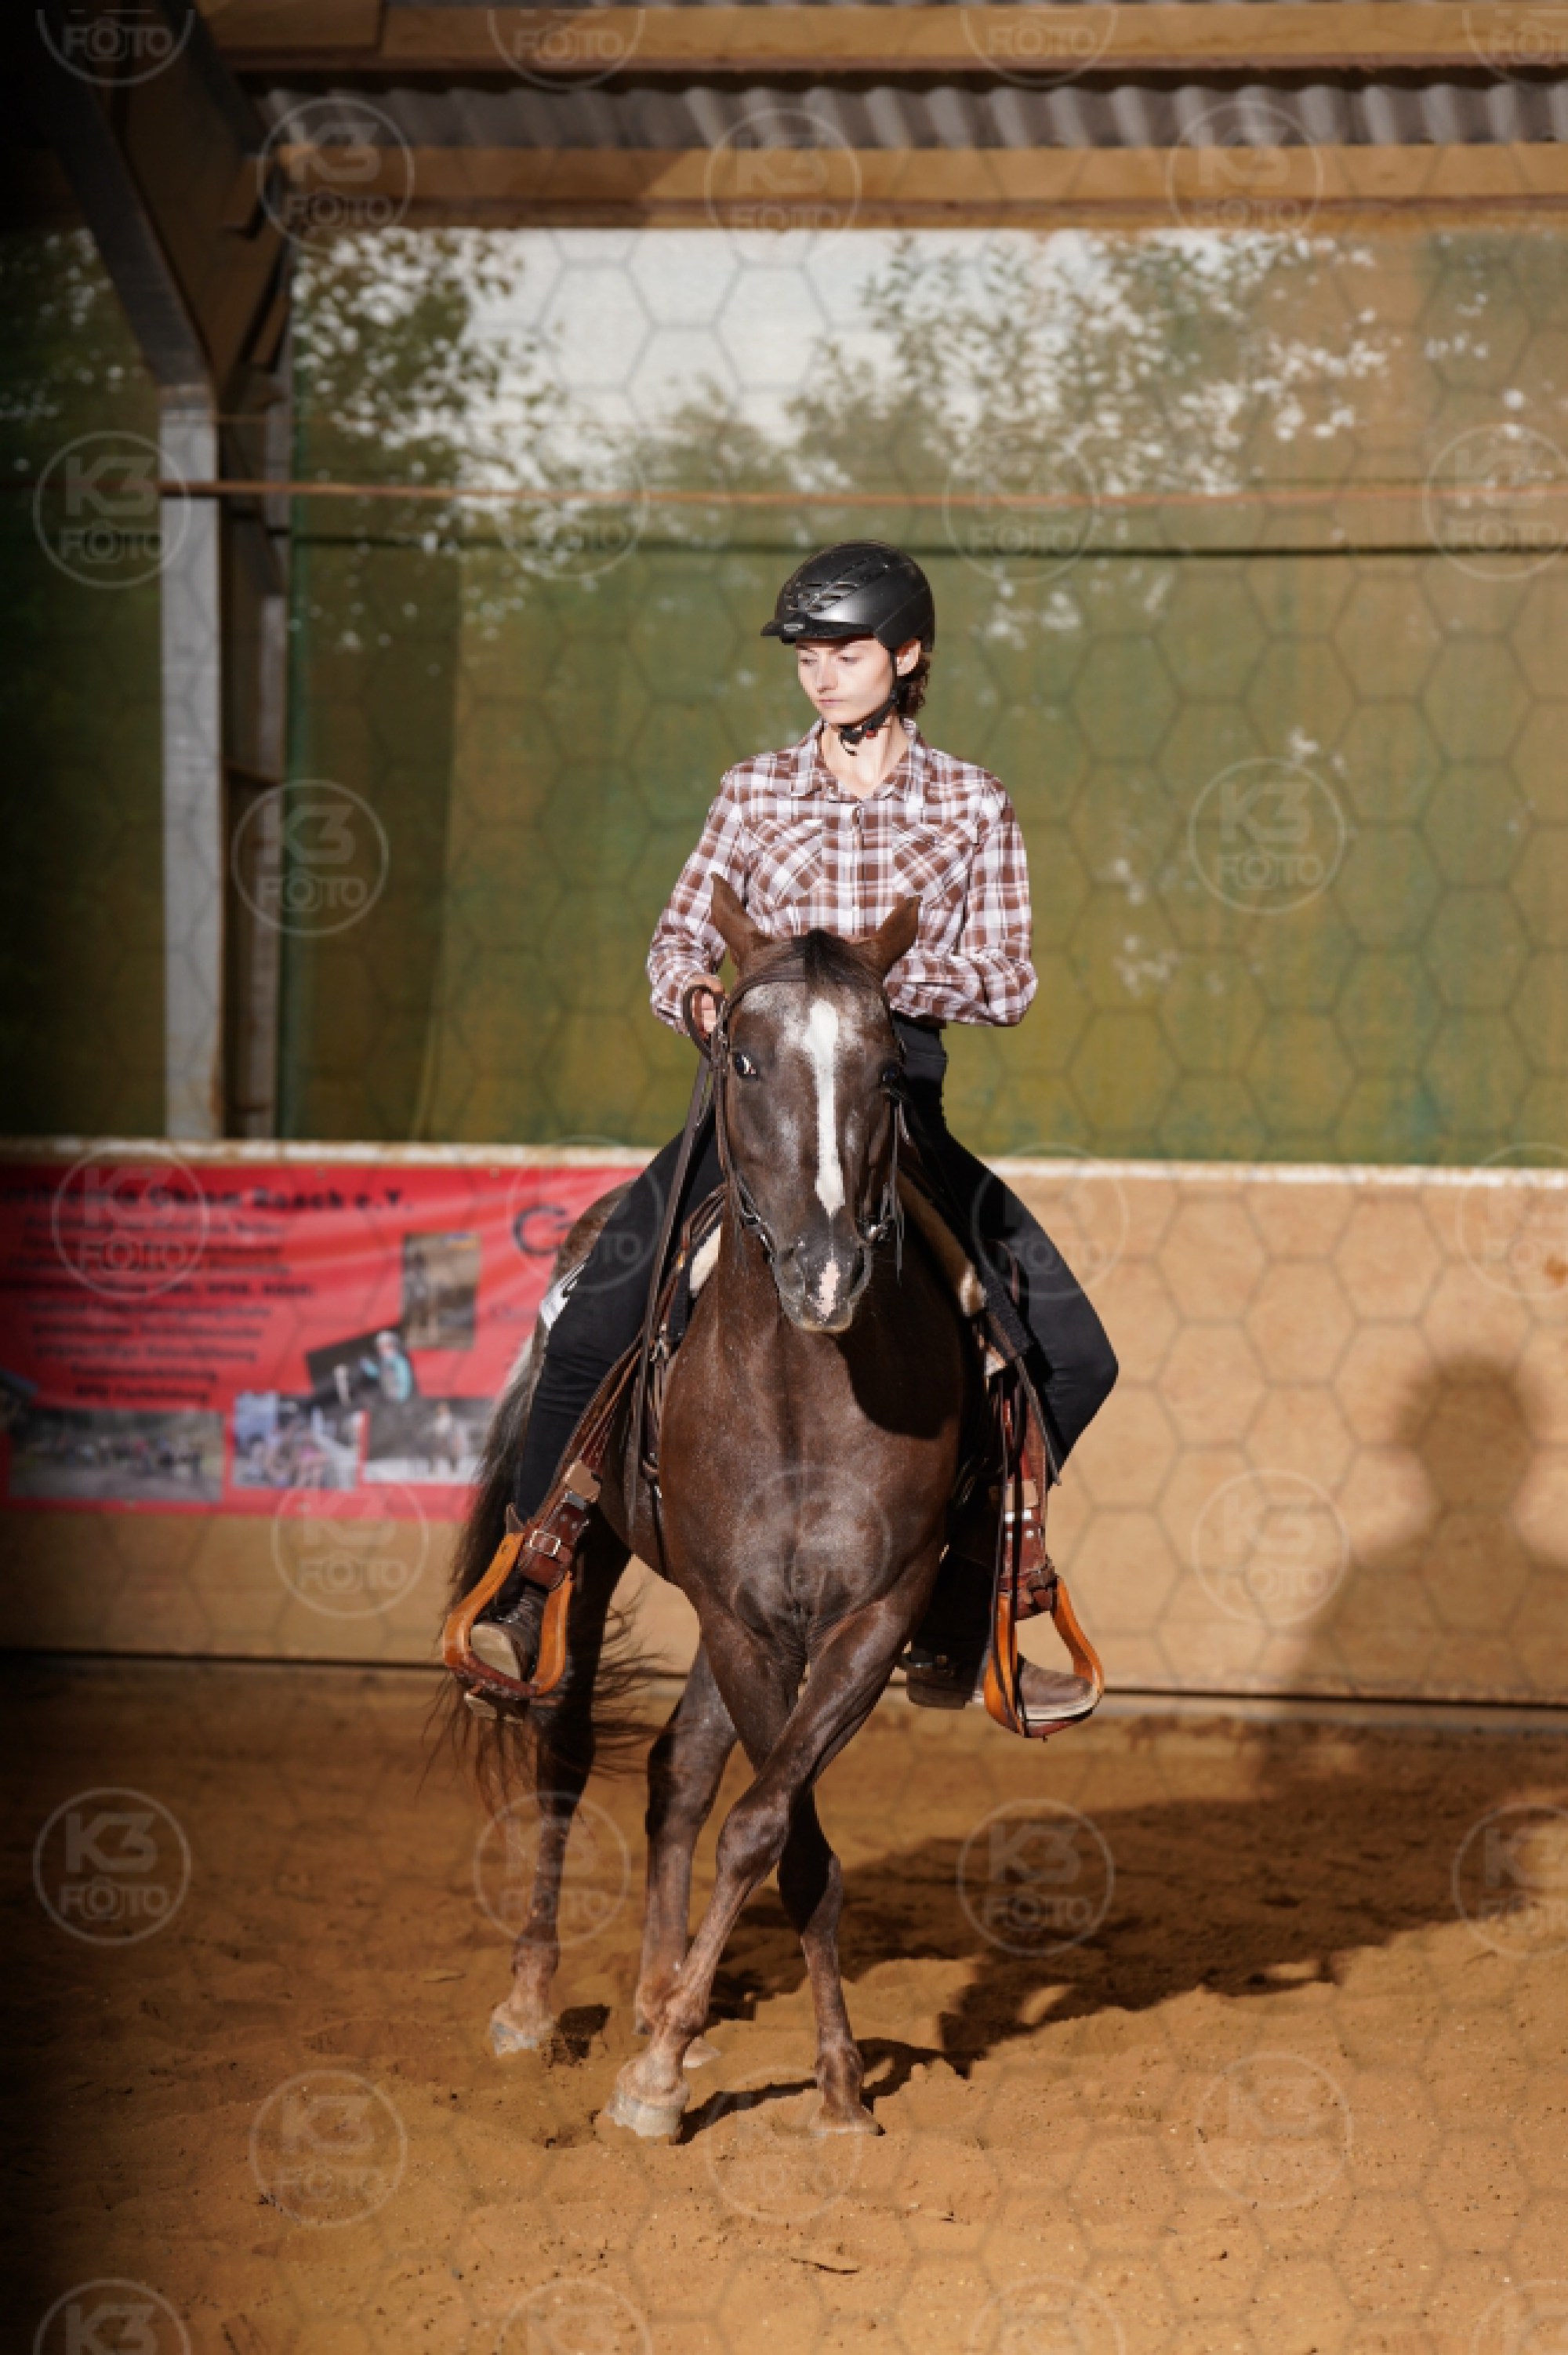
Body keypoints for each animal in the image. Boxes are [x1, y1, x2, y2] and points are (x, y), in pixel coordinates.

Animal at [446, 880, 979, 2140]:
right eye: (741, 1054)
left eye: (891, 1068)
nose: (827, 1270)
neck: (802, 1395)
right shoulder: (743, 1619)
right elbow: (791, 1838)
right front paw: (658, 2078)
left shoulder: (863, 1621)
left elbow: (770, 1823)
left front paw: (826, 2082)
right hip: (594, 1564)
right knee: (564, 1745)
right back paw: (533, 2002)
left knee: (678, 1768)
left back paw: (652, 1992)